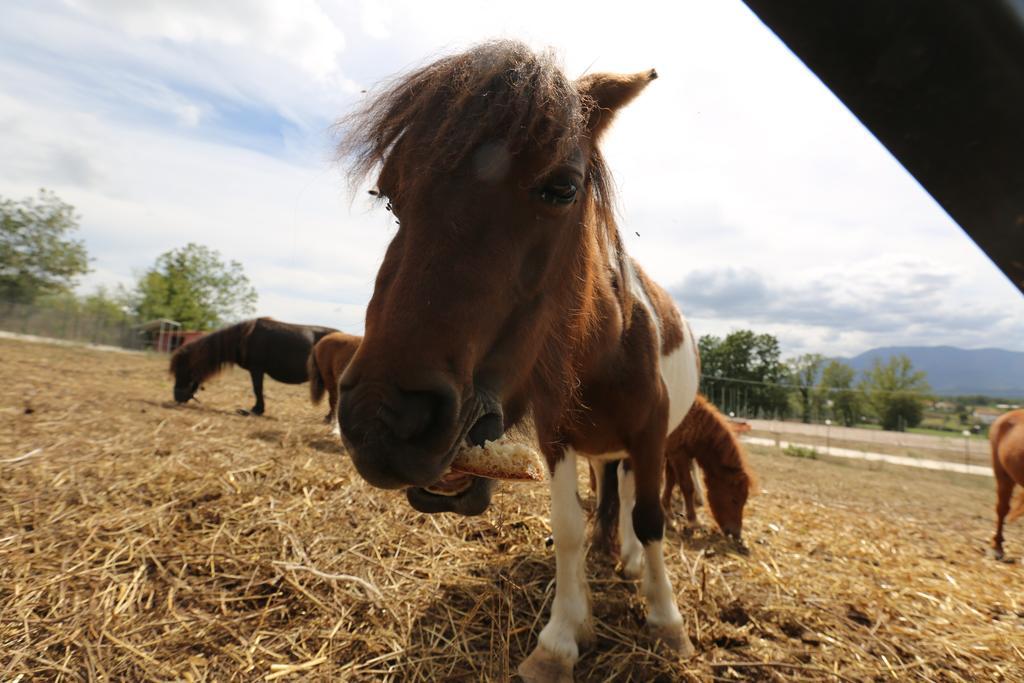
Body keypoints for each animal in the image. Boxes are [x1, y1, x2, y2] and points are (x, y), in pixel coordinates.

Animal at [171, 317, 335, 417]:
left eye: (183, 370)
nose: (177, 398)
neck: (244, 338)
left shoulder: (256, 369)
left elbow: (257, 389)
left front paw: (256, 410)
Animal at [335, 41, 704, 679]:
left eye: (562, 188)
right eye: (390, 196)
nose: (383, 420)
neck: (603, 352)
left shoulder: (651, 434)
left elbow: (652, 519)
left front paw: (667, 622)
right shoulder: (557, 436)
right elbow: (569, 526)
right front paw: (562, 636)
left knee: (636, 502)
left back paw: (633, 562)